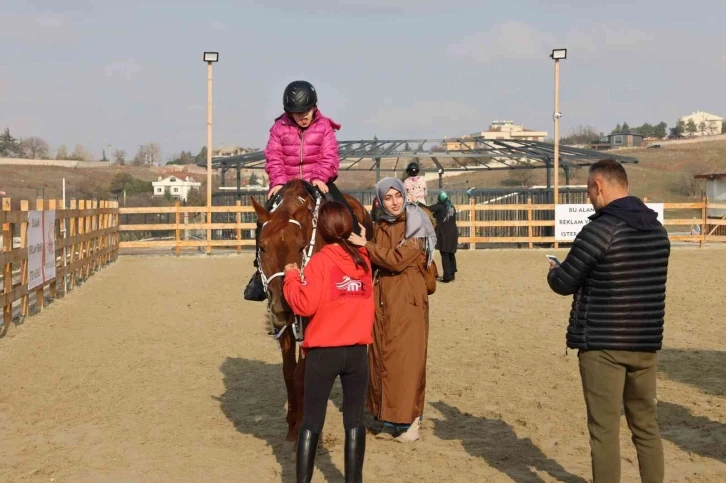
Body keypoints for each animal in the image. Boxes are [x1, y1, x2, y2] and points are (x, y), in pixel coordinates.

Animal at [252, 181, 376, 442]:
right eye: (262, 247)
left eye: (300, 247)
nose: (283, 307)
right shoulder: (284, 325)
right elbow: (289, 372)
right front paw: (291, 424)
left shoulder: (311, 322)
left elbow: (302, 374)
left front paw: (300, 426)